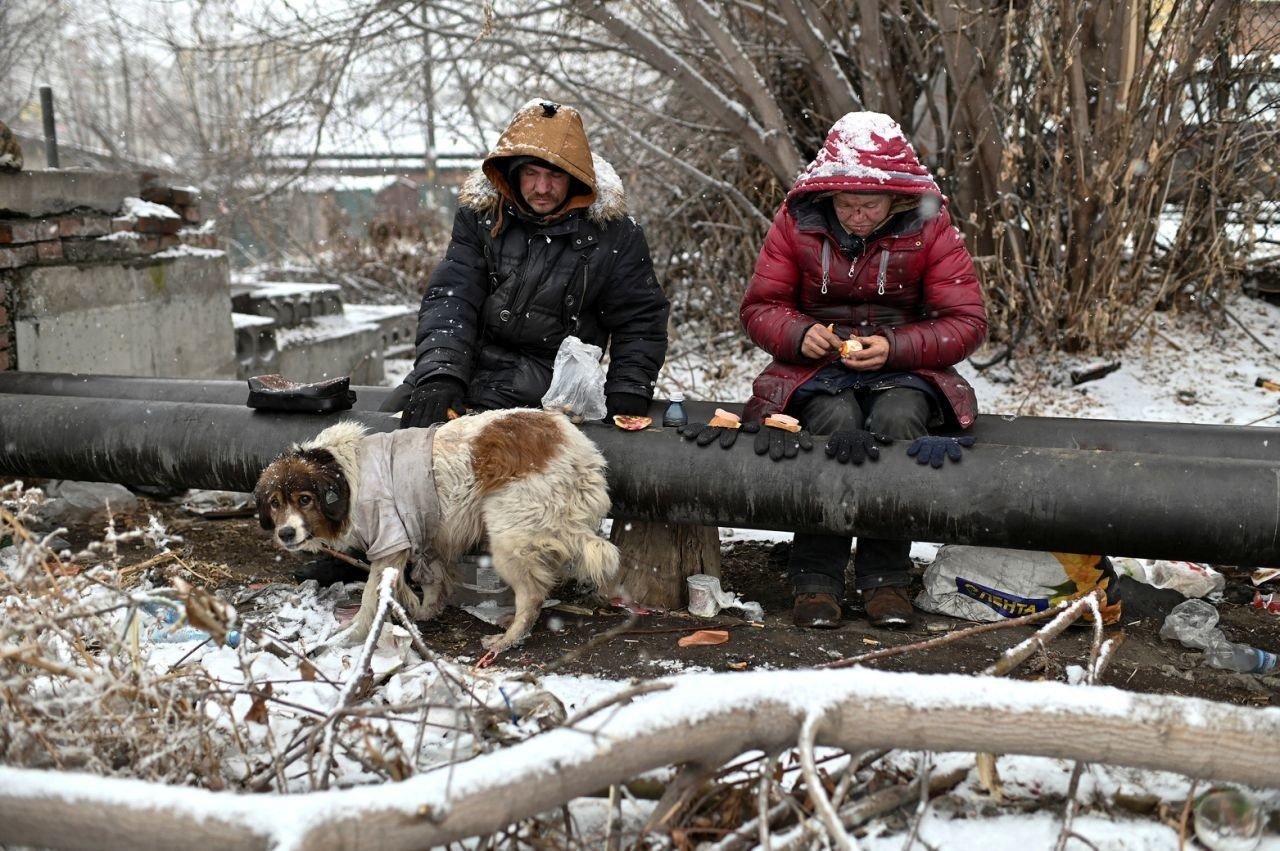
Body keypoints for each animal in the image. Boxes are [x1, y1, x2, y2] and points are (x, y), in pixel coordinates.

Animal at [252, 406, 622, 665]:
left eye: (305, 499)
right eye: (275, 503)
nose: (286, 533)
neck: (344, 473)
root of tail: (577, 449)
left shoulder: (389, 541)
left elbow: (372, 598)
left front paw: (352, 635)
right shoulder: (423, 534)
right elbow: (430, 579)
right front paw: (424, 610)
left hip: (509, 538)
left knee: (532, 597)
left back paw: (507, 640)